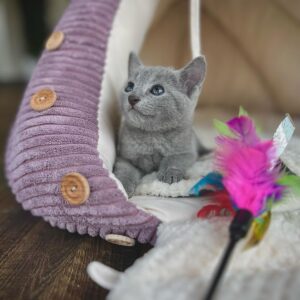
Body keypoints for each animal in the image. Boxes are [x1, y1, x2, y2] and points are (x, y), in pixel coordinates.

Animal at [112, 52, 206, 197]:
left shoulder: (188, 150)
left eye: (157, 90)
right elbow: (124, 169)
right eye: (129, 87)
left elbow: (176, 158)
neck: (152, 136)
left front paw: (170, 173)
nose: (132, 98)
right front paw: (122, 184)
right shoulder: (124, 156)